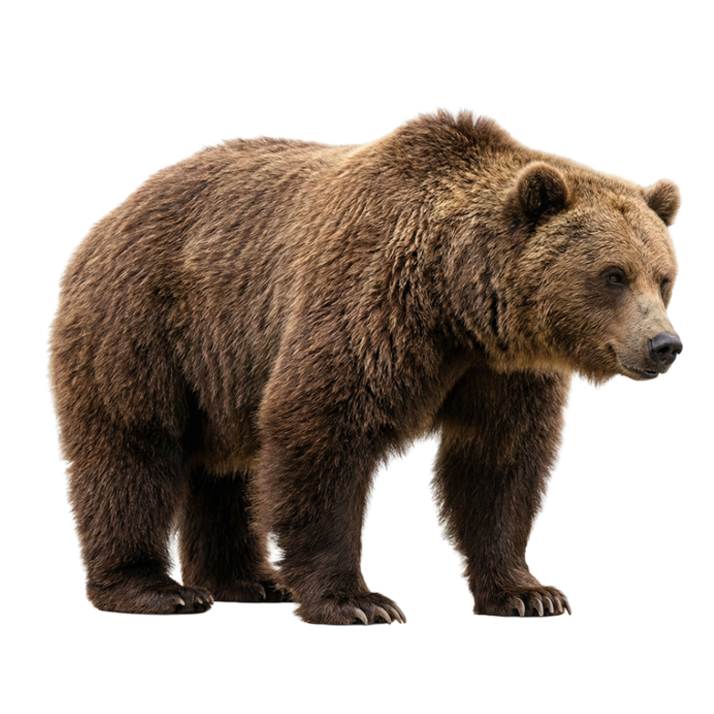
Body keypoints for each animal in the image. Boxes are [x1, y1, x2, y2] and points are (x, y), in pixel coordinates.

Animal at [46, 108, 683, 624]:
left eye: (662, 276)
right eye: (612, 275)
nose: (664, 344)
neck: (455, 306)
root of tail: (110, 214)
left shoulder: (504, 370)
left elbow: (499, 463)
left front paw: (525, 592)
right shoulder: (368, 301)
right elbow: (322, 429)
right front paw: (353, 600)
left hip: (220, 365)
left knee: (223, 469)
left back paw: (245, 581)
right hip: (143, 324)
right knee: (132, 447)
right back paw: (155, 587)